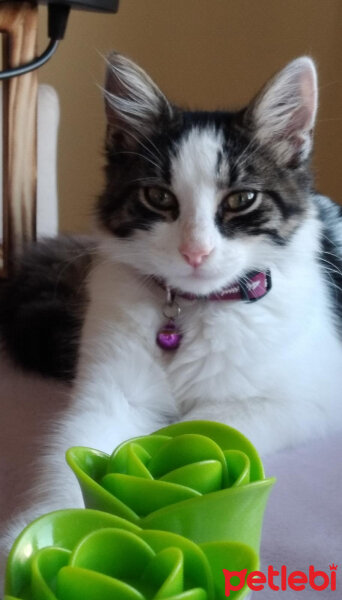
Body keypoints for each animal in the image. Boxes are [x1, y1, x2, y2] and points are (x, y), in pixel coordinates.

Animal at [0, 51, 342, 568]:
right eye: (159, 197)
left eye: (242, 199)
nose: (195, 252)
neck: (193, 310)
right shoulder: (106, 393)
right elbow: (70, 457)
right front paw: (34, 538)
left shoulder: (310, 398)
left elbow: (195, 428)